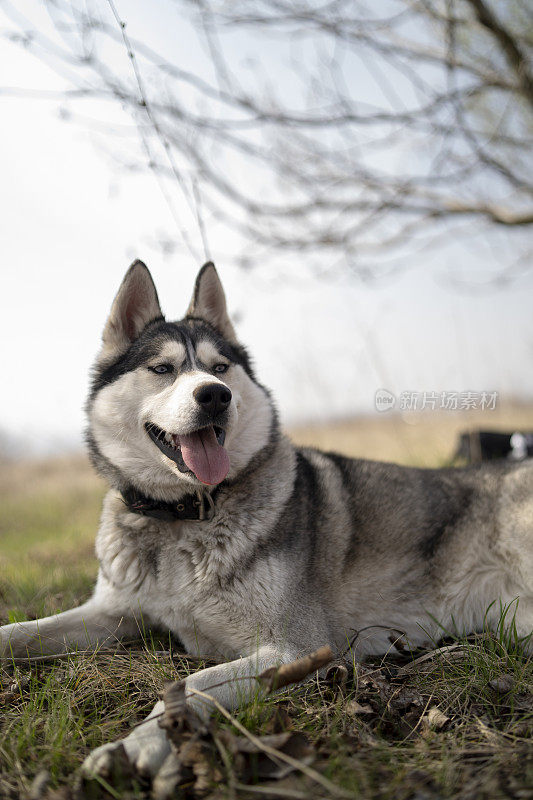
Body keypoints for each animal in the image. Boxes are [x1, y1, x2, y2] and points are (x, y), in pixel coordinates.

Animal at [1, 262, 532, 780]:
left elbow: (193, 682)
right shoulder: (111, 612)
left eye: (220, 369)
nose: (215, 395)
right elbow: (20, 631)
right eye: (162, 369)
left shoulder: (296, 648)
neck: (181, 517)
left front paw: (138, 746)